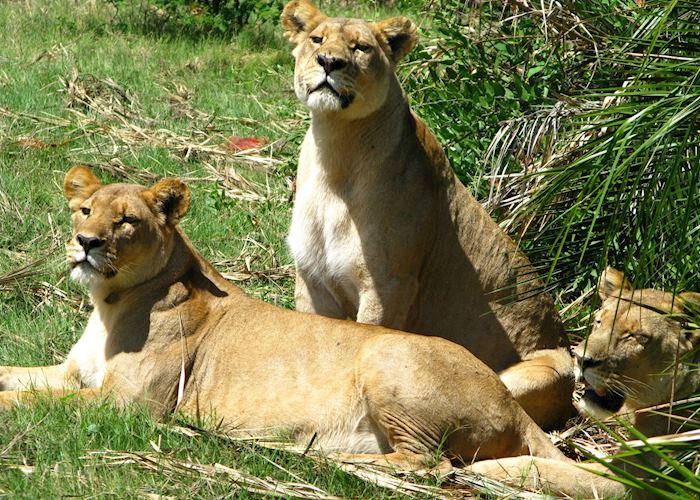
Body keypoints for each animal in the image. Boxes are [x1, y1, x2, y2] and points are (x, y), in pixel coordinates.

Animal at [0, 166, 572, 474]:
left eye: (126, 221)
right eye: (85, 210)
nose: (86, 242)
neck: (108, 302)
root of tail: (507, 399)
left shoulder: (128, 405)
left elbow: (35, 401)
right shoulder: (73, 373)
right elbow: (17, 376)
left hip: (389, 360)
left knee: (427, 464)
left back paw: (321, 460)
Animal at [284, 0, 576, 430]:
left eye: (360, 48)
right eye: (317, 40)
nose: (328, 62)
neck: (334, 152)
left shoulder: (389, 285)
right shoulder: (312, 277)